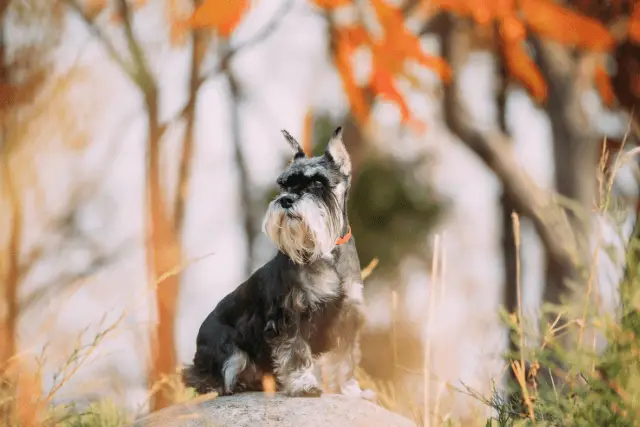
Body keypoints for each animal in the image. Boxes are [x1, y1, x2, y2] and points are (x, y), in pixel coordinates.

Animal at [180, 125, 372, 400]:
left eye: (317, 182)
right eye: (284, 184)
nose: (286, 200)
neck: (325, 252)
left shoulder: (347, 316)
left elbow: (345, 359)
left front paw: (351, 390)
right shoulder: (289, 316)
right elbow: (296, 353)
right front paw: (304, 384)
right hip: (229, 354)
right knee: (212, 379)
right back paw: (230, 385)